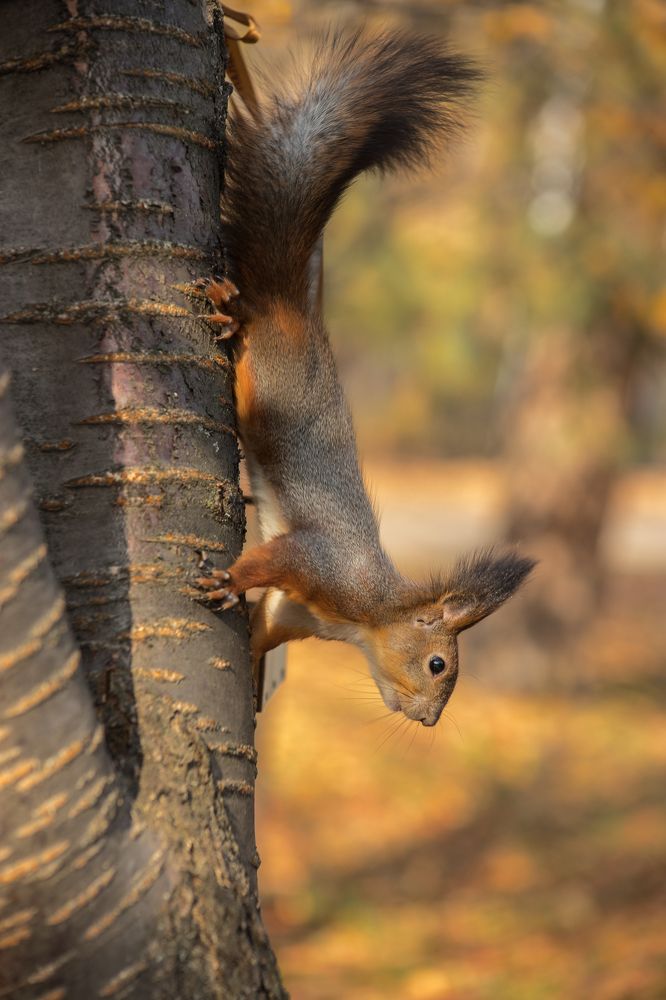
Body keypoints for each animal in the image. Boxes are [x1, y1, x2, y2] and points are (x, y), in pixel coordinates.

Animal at [196, 28, 535, 726]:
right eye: (437, 665)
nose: (430, 721)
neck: (367, 616)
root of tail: (296, 306)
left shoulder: (292, 612)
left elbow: (262, 630)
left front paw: (251, 681)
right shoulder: (320, 564)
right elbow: (270, 559)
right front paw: (228, 580)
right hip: (265, 375)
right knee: (248, 326)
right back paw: (226, 308)